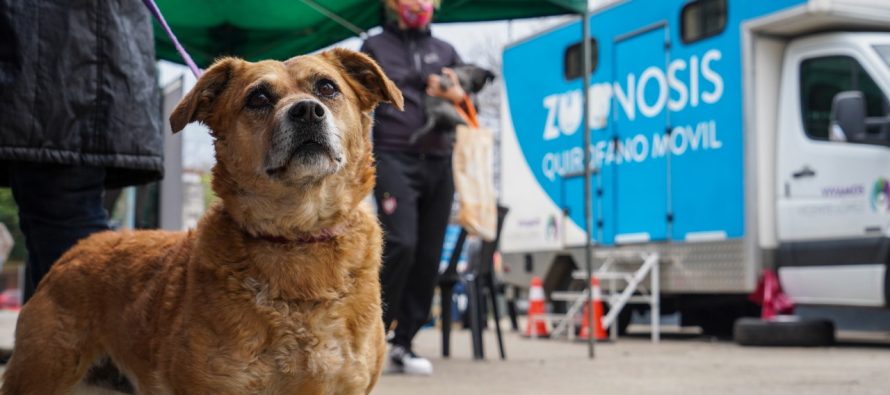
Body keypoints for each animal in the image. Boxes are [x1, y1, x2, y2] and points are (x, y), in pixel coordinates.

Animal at [0, 48, 402, 394]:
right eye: (258, 98)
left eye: (327, 87)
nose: (306, 111)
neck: (297, 238)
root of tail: (80, 248)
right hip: (38, 375)